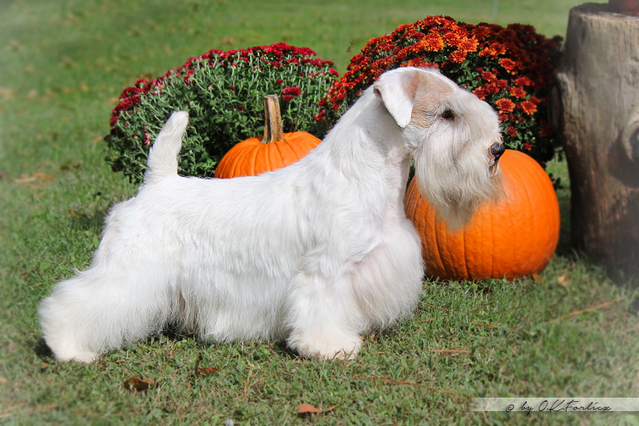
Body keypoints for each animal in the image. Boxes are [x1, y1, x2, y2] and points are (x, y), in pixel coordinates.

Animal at [38, 68, 504, 362]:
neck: (363, 176)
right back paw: (69, 348)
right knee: (74, 302)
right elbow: (320, 310)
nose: (497, 150)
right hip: (127, 272)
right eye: (446, 113)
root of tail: (157, 182)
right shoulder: (325, 272)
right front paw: (329, 347)